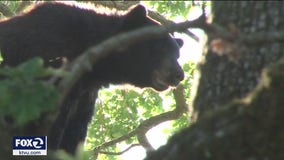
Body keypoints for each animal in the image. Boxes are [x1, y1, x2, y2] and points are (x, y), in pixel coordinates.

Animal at [0, 1, 184, 154]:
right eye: (161, 46)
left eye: (177, 54)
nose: (179, 74)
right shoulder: (44, 60)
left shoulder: (85, 96)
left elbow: (73, 135)